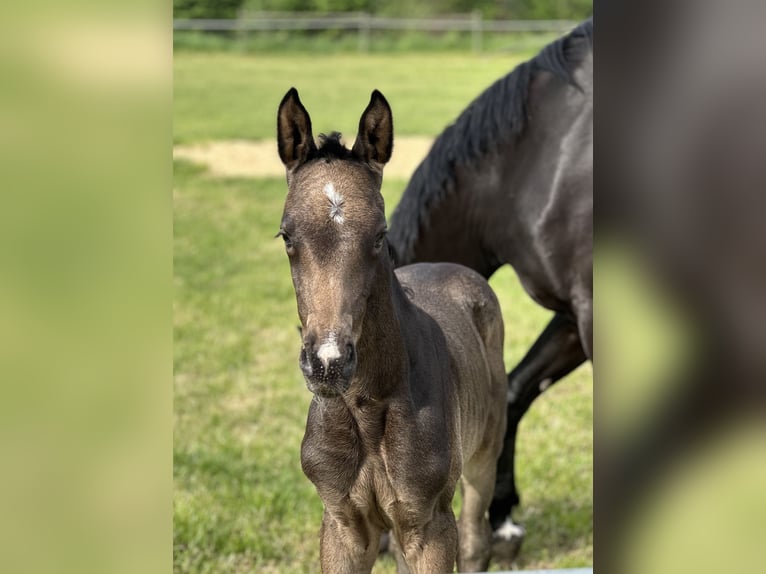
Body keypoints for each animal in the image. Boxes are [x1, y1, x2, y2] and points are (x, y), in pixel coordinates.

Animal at [276, 87, 507, 573]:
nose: (328, 363)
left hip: (484, 455)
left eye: (380, 235)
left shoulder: (429, 525)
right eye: (286, 235)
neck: (365, 411)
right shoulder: (343, 525)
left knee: (475, 540)